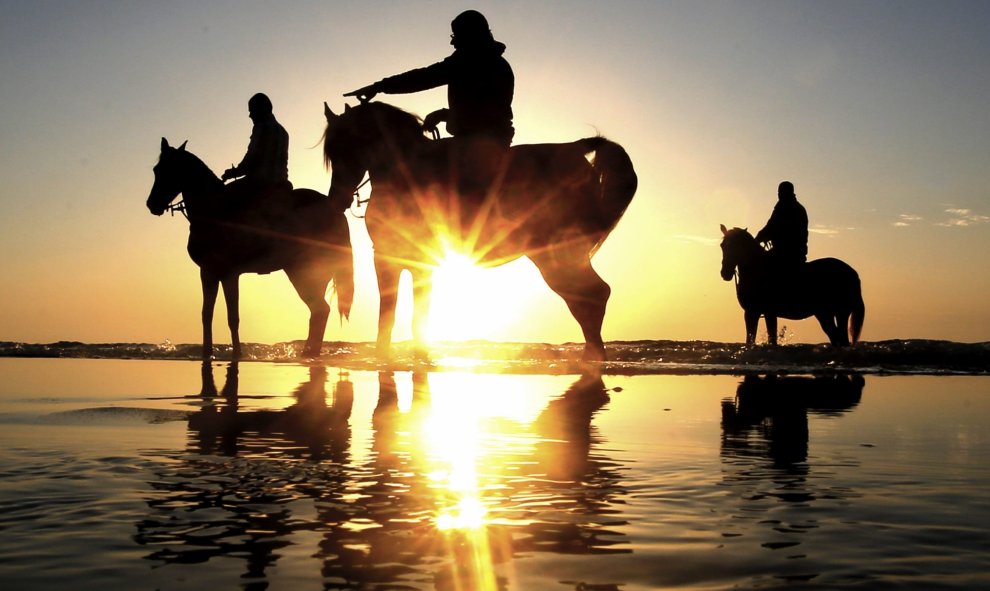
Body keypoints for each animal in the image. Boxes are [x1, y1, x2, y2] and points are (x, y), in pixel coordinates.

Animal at [143, 140, 352, 360]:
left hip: (305, 274)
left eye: (170, 169)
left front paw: (237, 353)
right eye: (156, 170)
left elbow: (232, 316)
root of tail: (335, 211)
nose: (152, 204)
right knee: (319, 311)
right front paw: (207, 353)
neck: (214, 211)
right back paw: (309, 353)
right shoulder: (208, 272)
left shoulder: (228, 274)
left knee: (319, 310)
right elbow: (206, 314)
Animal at [322, 102, 640, 360]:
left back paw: (593, 356)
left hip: (556, 255)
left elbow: (390, 311)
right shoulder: (415, 260)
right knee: (588, 296)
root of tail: (575, 148)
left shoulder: (387, 257)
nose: (336, 200)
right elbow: (413, 312)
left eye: (347, 146)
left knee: (590, 295)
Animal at [716, 225, 864, 346]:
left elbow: (764, 339)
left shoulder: (758, 312)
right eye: (722, 245)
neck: (757, 269)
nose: (725, 273)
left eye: (736, 246)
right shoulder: (758, 313)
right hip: (825, 314)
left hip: (840, 313)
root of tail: (853, 273)